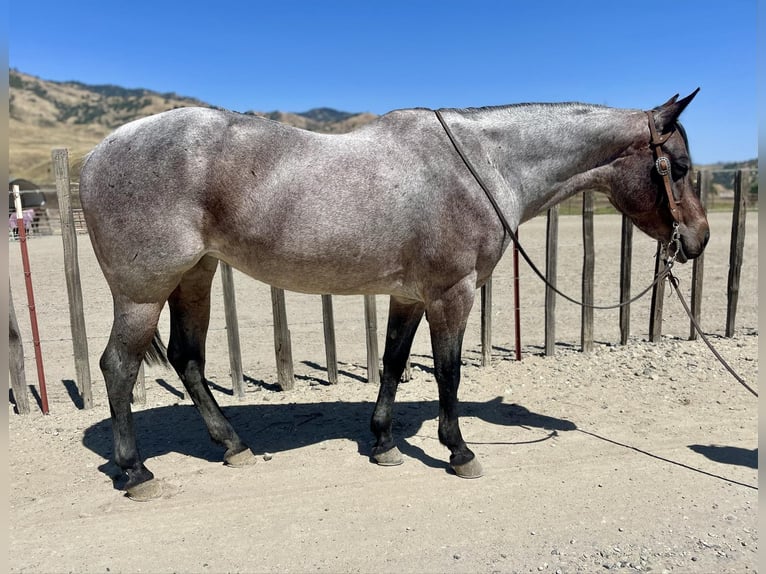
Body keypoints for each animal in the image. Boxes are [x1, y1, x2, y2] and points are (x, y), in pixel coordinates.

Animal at [79, 90, 709, 500]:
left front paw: (382, 442)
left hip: (196, 276)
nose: (699, 239)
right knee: (118, 366)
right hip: (144, 292)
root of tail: (98, 152)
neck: (482, 165)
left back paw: (233, 445)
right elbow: (448, 372)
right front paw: (460, 452)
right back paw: (136, 473)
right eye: (678, 166)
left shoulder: (410, 296)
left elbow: (392, 361)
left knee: (187, 358)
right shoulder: (453, 293)